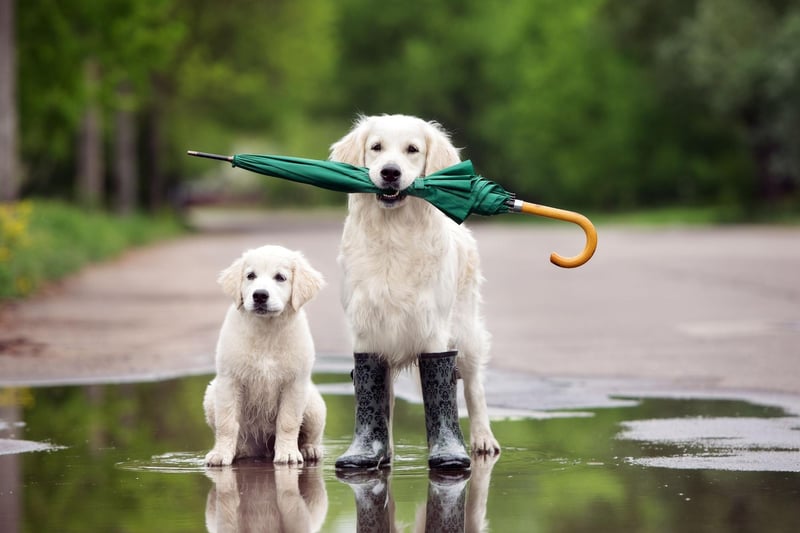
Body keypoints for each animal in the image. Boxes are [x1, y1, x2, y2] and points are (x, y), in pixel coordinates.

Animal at [205, 245, 326, 466]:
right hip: (211, 394)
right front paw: (221, 454)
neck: (266, 331)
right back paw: (239, 451)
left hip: (314, 405)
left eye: (280, 277)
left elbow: (288, 422)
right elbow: (226, 423)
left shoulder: (295, 383)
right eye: (250, 276)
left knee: (311, 434)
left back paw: (309, 449)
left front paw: (288, 454)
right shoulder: (229, 380)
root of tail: (262, 451)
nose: (260, 295)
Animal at [328, 113, 496, 470]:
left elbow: (444, 388)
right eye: (376, 147)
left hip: (467, 331)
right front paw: (373, 451)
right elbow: (377, 396)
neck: (393, 234)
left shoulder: (433, 328)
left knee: (474, 388)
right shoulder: (367, 329)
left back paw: (483, 439)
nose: (390, 172)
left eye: (413, 150)